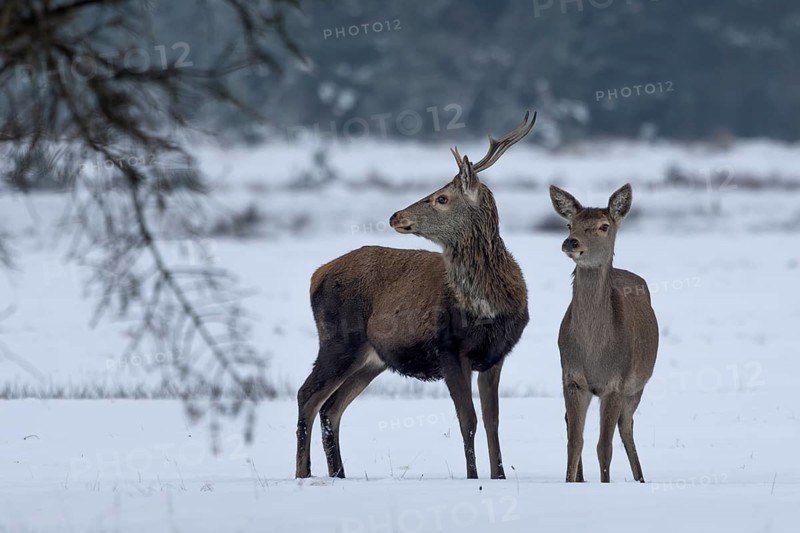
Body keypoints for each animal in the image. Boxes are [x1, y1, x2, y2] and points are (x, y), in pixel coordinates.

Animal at [295, 112, 536, 480]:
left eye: (442, 198)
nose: (396, 216)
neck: (488, 305)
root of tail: (315, 275)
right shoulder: (448, 348)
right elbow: (468, 420)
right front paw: (473, 477)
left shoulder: (495, 355)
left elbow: (493, 421)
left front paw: (499, 476)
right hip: (338, 339)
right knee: (307, 395)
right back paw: (303, 474)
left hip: (371, 359)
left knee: (331, 408)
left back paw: (338, 474)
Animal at [549, 184, 658, 483]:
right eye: (569, 224)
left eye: (604, 226)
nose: (571, 242)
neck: (594, 351)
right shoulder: (572, 379)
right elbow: (575, 441)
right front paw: (569, 481)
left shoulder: (616, 383)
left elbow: (604, 446)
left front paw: (604, 483)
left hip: (637, 386)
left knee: (626, 426)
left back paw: (640, 478)